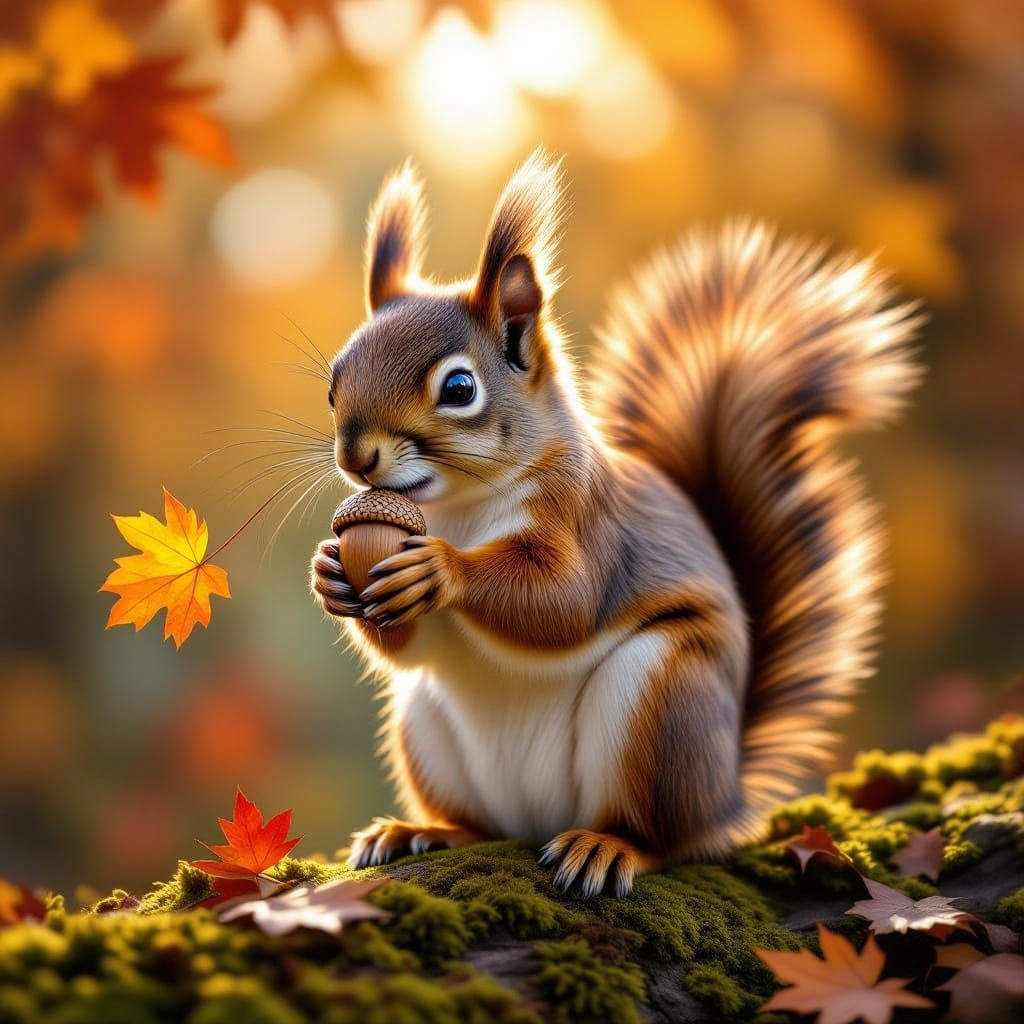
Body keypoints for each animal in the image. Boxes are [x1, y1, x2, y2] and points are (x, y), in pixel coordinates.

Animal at [311, 150, 922, 897]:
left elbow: (563, 602)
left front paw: (441, 570)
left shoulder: (588, 523)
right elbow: (413, 648)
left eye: (459, 388)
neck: (455, 509)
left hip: (663, 705)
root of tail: (724, 795)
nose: (356, 456)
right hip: (424, 727)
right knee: (480, 823)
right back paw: (422, 831)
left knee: (667, 839)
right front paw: (331, 574)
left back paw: (609, 848)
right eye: (334, 383)